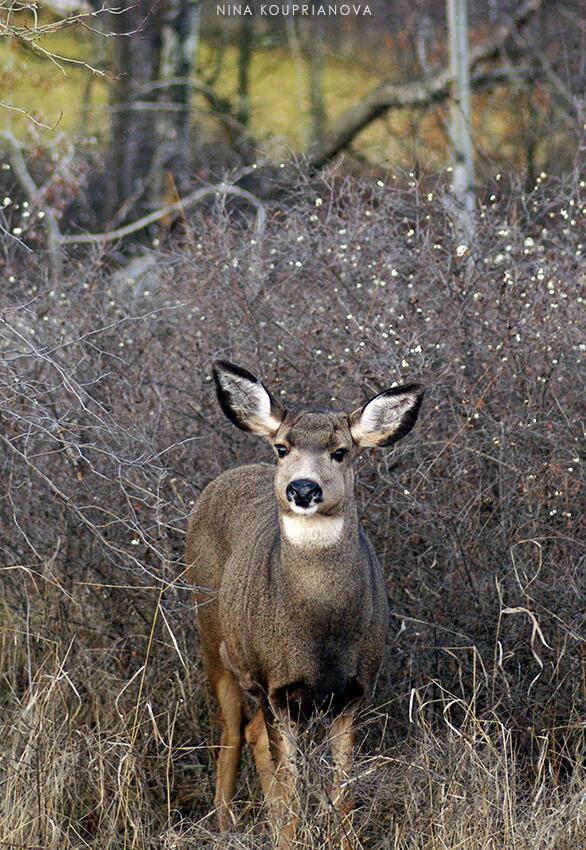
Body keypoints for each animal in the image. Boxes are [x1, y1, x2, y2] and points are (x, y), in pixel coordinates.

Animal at [186, 360, 424, 849]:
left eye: (341, 451)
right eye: (282, 447)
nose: (302, 488)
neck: (321, 632)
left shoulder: (356, 689)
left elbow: (343, 789)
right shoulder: (276, 687)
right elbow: (293, 787)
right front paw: (288, 835)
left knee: (252, 734)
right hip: (215, 639)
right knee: (232, 733)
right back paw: (225, 826)